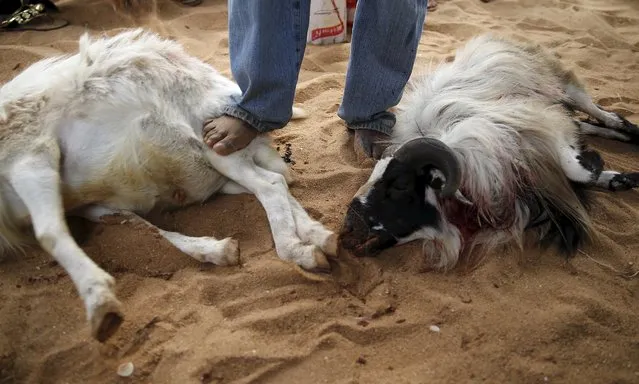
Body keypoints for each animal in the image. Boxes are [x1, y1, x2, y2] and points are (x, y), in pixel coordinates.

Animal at [0, 30, 338, 342]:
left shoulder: (31, 157)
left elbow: (50, 232)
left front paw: (101, 307)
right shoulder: (93, 205)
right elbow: (145, 228)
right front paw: (219, 251)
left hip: (218, 150)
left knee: (271, 184)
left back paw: (295, 250)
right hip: (226, 175)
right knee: (278, 184)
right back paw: (321, 240)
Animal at [342, 34, 639, 272]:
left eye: (400, 186)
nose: (349, 227)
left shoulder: (546, 126)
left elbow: (573, 167)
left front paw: (603, 169)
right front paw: (617, 178)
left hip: (566, 87)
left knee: (605, 116)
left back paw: (629, 133)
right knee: (586, 125)